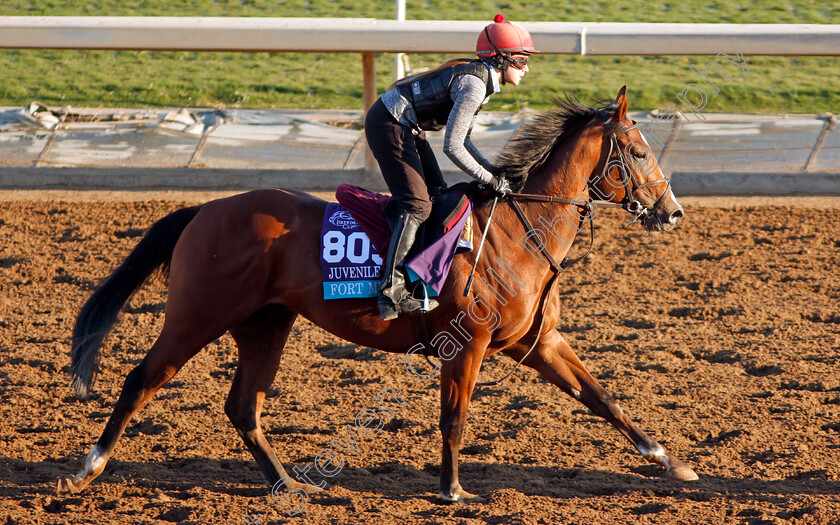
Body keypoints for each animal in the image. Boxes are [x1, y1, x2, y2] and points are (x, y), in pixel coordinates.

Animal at [59, 87, 696, 504]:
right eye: (640, 152)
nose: (672, 212)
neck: (517, 234)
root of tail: (204, 210)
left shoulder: (538, 342)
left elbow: (603, 399)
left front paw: (672, 463)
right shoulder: (465, 345)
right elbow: (454, 418)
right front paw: (451, 490)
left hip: (266, 323)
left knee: (243, 405)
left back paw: (286, 482)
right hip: (199, 313)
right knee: (143, 378)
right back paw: (88, 467)